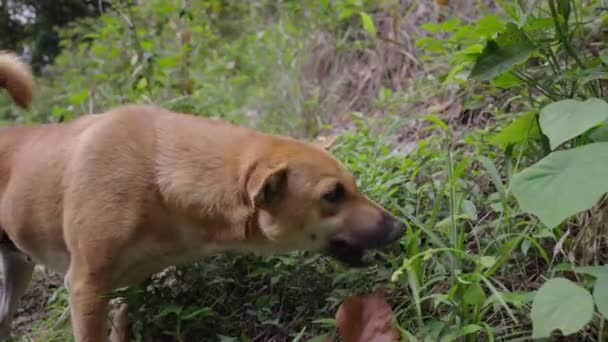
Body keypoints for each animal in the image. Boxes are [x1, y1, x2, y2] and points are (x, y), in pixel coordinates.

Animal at [0, 51, 404, 342]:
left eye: (352, 185)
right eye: (333, 194)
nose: (399, 228)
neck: (158, 178)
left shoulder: (125, 287)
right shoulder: (85, 286)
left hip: (16, 271)